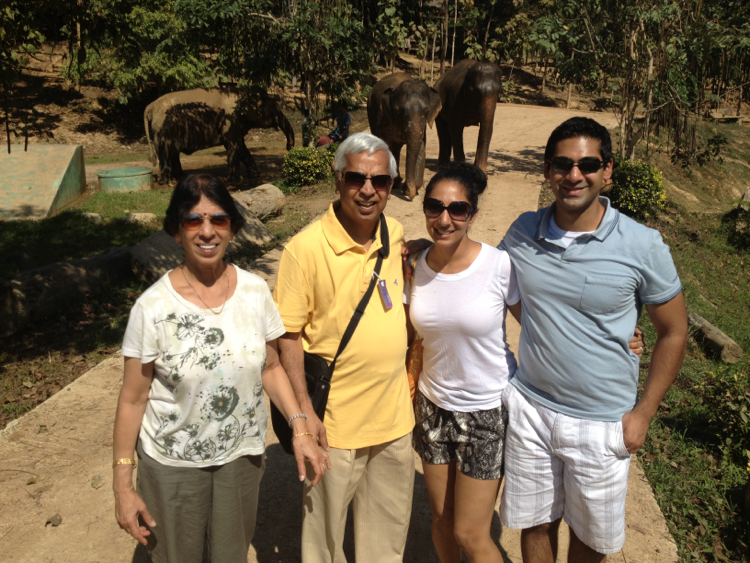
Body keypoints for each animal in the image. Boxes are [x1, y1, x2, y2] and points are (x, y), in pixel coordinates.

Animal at [142, 88, 296, 185]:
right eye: (272, 109)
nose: (289, 147)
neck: (241, 93)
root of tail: (149, 107)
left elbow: (241, 147)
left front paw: (255, 175)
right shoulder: (230, 120)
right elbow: (234, 146)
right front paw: (235, 179)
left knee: (172, 153)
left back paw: (179, 177)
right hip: (163, 130)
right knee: (166, 153)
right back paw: (169, 181)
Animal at [368, 72, 444, 200]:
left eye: (426, 110)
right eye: (401, 111)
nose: (410, 194)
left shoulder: (422, 128)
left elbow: (420, 148)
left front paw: (409, 190)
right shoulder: (384, 120)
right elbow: (387, 146)